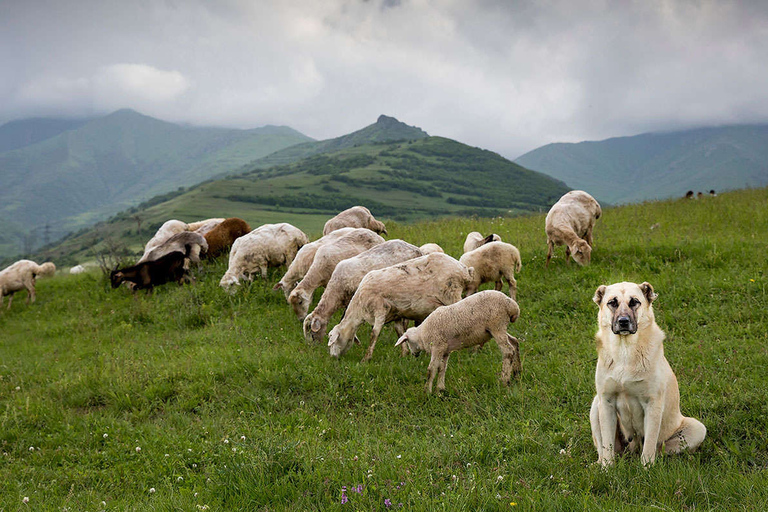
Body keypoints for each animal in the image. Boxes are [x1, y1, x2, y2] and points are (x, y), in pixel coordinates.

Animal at [328, 254, 476, 362]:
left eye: (332, 339)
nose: (333, 358)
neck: (359, 307)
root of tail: (464, 270)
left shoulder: (380, 309)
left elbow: (374, 334)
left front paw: (366, 358)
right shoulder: (396, 314)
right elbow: (399, 331)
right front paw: (404, 354)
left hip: (452, 293)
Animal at [588, 282, 708, 466]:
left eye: (634, 302)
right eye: (612, 302)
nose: (623, 322)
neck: (625, 350)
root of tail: (632, 451)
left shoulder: (653, 403)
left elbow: (650, 442)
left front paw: (647, 468)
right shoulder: (606, 401)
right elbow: (607, 444)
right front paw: (607, 469)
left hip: (696, 428)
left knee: (659, 449)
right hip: (596, 405)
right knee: (604, 450)